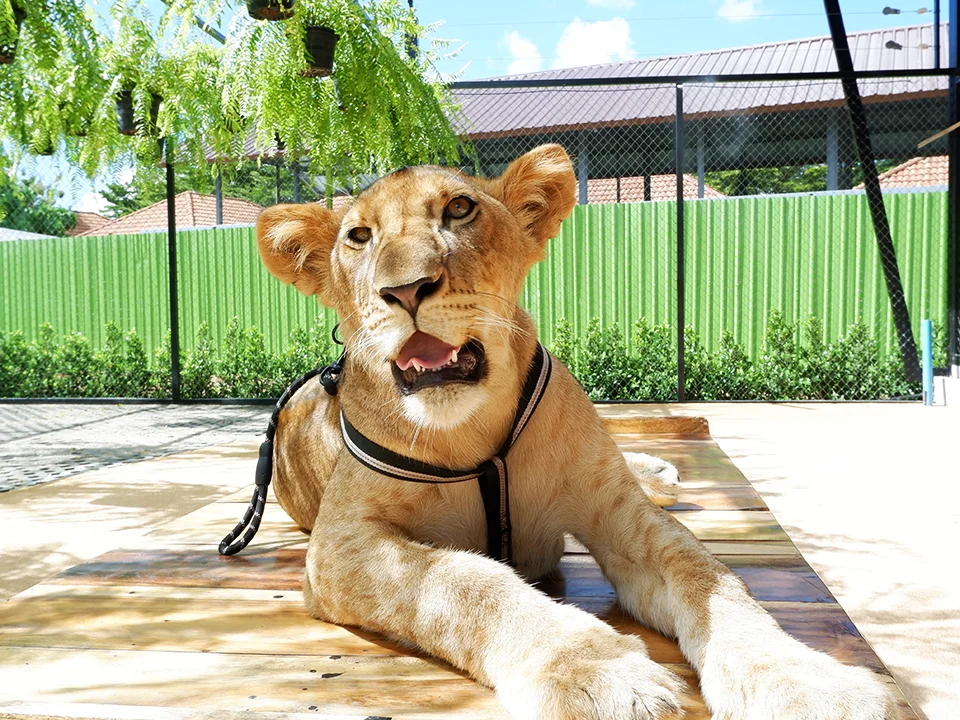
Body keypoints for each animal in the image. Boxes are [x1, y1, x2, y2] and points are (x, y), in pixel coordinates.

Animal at [255, 145, 895, 720]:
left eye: (459, 208)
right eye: (359, 237)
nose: (405, 290)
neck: (471, 428)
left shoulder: (616, 511)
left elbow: (711, 579)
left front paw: (808, 683)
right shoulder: (339, 548)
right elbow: (466, 580)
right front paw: (596, 671)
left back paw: (657, 473)